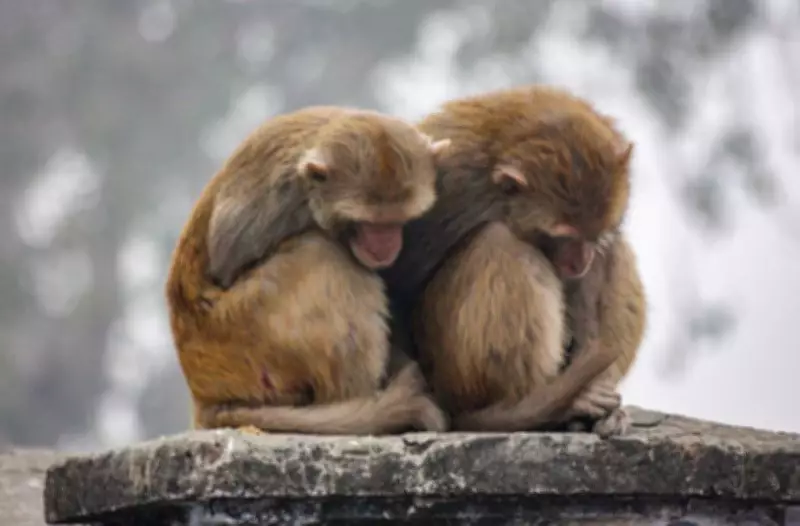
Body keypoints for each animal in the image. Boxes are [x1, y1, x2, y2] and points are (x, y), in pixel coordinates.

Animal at [165, 105, 451, 435]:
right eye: (369, 223)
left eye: (396, 220)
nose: (385, 245)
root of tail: (202, 392)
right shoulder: (273, 201)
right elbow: (226, 262)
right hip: (238, 337)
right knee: (323, 255)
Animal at [380, 85, 646, 436]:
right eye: (563, 235)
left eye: (594, 234)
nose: (580, 262)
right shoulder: (440, 186)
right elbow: (397, 288)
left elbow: (601, 265)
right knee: (501, 242)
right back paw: (533, 407)